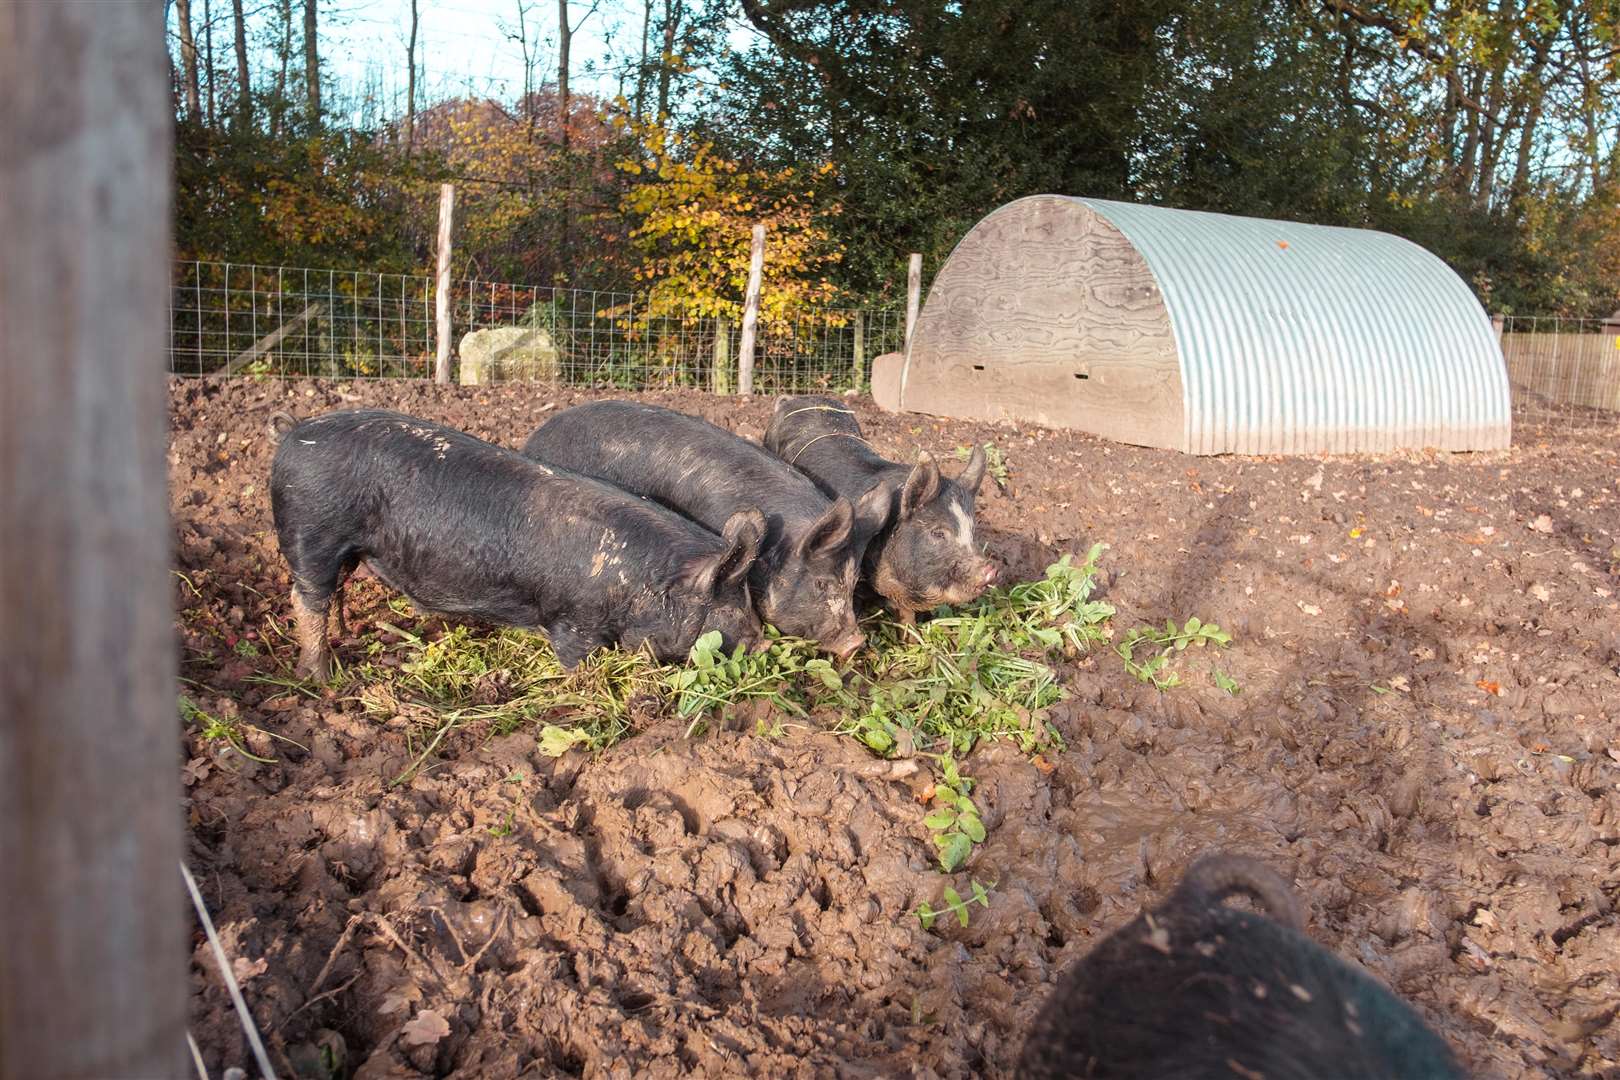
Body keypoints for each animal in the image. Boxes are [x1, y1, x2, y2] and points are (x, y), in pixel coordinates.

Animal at [270, 409, 764, 680]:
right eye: (734, 608)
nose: (761, 642)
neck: (637, 583)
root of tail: (294, 430)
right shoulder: (576, 624)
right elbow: (577, 664)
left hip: (345, 547)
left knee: (335, 590)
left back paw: (347, 637)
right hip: (310, 532)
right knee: (306, 599)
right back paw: (323, 677)